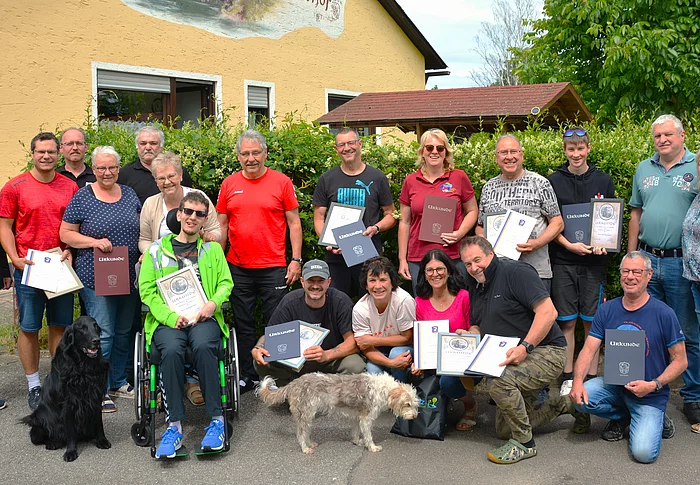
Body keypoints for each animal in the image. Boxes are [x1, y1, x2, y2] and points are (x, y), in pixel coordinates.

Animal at [21, 316, 111, 461]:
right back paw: (52, 443)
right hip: (39, 421)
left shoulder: (96, 398)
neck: (84, 367)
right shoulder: (69, 403)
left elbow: (99, 423)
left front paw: (102, 440)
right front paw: (71, 451)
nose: (96, 341)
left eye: (96, 327)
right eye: (82, 328)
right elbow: (70, 431)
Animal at [257, 372, 419, 454]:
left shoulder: (357, 417)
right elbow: (368, 436)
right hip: (305, 414)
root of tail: (293, 383)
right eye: (407, 404)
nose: (415, 416)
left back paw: (310, 444)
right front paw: (372, 447)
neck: (385, 389)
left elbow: (355, 432)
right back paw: (305, 448)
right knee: (301, 434)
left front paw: (356, 441)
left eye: (415, 404)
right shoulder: (366, 418)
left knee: (306, 432)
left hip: (308, 416)